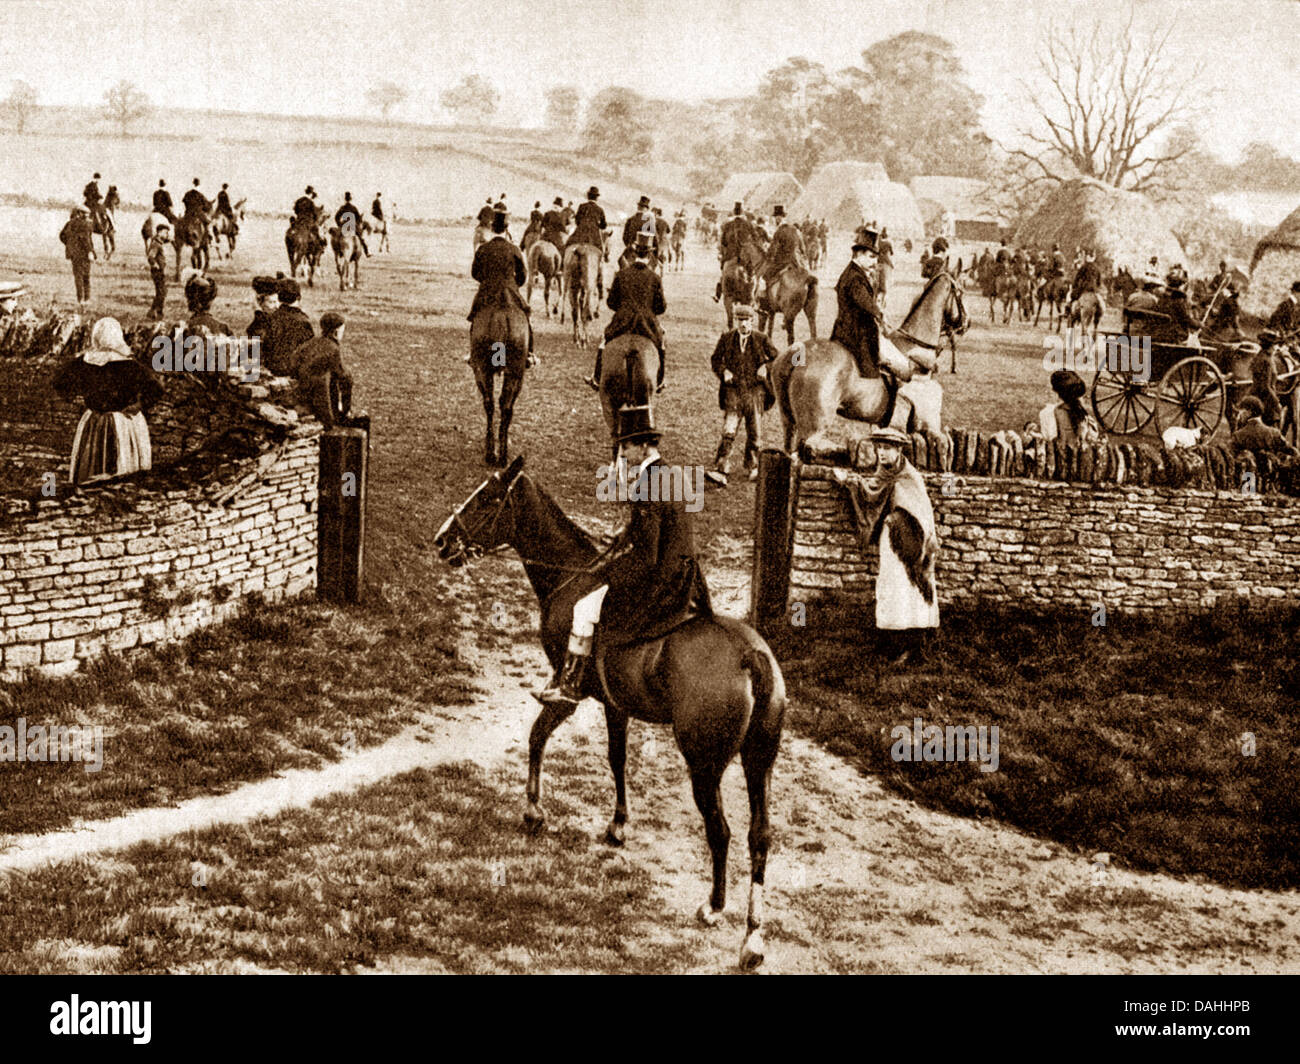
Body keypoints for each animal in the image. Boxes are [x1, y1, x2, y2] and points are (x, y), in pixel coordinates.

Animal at [431, 452, 785, 967]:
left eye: (489, 498)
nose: (442, 541)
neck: (573, 575)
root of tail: (750, 655)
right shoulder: (617, 706)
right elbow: (617, 759)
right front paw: (618, 826)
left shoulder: (573, 691)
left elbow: (538, 735)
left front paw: (534, 811)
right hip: (760, 762)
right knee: (761, 836)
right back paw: (753, 938)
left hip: (704, 765)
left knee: (720, 831)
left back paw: (715, 907)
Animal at [470, 300, 530, 463]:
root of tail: (500, 319)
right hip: (512, 372)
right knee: (504, 405)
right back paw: (500, 454)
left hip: (484, 370)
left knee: (491, 403)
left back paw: (494, 453)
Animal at [769, 267, 967, 457]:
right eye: (961, 292)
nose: (966, 323)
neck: (916, 352)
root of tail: (794, 355)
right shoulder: (927, 426)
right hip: (813, 428)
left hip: (788, 422)